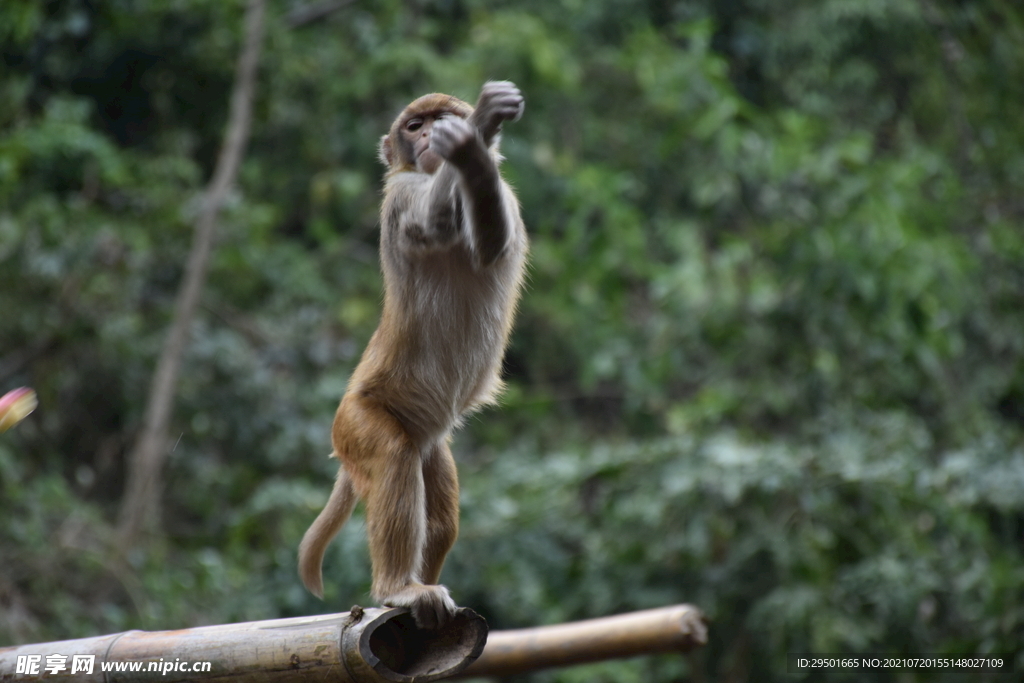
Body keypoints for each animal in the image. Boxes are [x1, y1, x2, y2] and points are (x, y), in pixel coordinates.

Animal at [299, 81, 528, 630]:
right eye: (414, 125)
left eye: (439, 116)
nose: (429, 135)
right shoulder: (400, 197)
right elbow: (434, 220)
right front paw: (473, 139)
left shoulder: (507, 198)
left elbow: (491, 242)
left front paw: (472, 147)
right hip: (356, 422)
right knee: (394, 458)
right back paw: (399, 588)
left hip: (431, 442)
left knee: (440, 514)